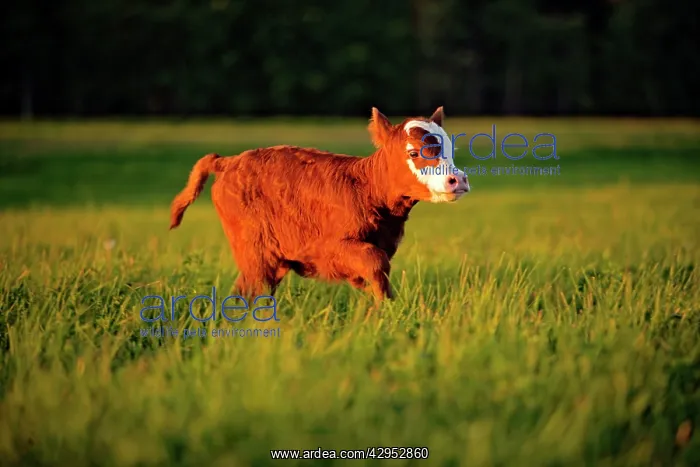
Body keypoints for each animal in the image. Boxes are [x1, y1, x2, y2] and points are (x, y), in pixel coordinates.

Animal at [169, 107, 470, 306]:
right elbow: (374, 260)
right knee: (252, 289)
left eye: (450, 149)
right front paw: (385, 310)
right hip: (254, 250)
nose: (458, 180)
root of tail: (228, 161)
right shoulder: (324, 248)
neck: (365, 189)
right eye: (413, 152)